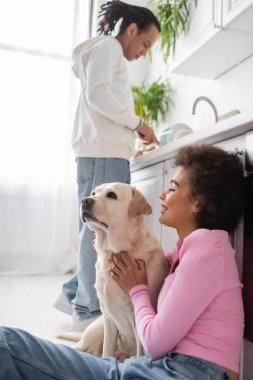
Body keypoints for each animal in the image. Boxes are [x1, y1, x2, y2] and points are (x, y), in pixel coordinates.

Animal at [57, 183, 168, 360]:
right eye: (93, 193)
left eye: (112, 195)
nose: (85, 200)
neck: (114, 251)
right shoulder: (109, 319)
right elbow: (106, 352)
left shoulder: (137, 322)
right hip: (97, 329)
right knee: (80, 347)